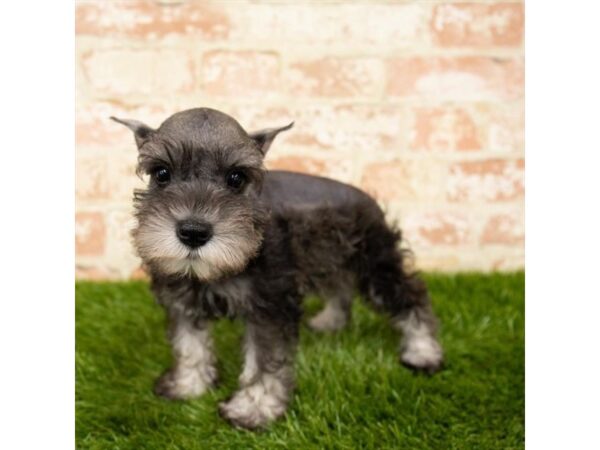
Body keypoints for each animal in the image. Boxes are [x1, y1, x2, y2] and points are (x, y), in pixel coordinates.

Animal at [112, 108, 442, 428]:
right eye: (161, 173)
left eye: (236, 178)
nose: (193, 232)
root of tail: (368, 200)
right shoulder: (183, 299)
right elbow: (189, 345)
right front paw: (188, 385)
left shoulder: (269, 306)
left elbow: (264, 360)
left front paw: (253, 410)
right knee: (340, 290)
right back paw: (330, 321)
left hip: (377, 267)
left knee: (411, 298)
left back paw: (423, 352)